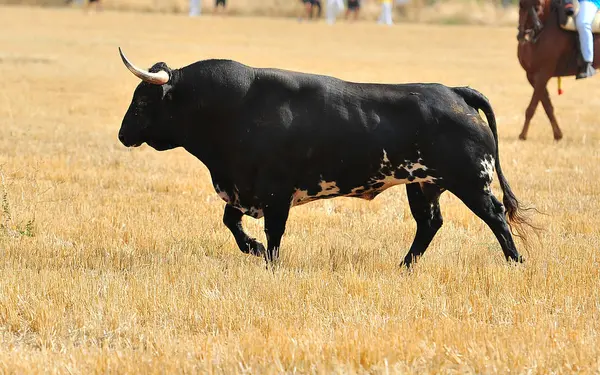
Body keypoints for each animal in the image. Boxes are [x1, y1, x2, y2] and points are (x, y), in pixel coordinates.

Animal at [117, 50, 528, 268]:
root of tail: (455, 93)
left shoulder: (275, 194)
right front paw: (252, 248)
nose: (122, 134)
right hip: (423, 185)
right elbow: (231, 222)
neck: (235, 108)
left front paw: (268, 261)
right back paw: (404, 267)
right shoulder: (243, 190)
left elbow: (274, 234)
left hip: (470, 182)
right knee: (429, 224)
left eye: (142, 101)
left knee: (495, 216)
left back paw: (516, 262)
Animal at [516, 0, 600, 140]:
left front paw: (523, 135)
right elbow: (547, 106)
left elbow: (532, 107)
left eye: (538, 6)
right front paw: (558, 135)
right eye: (521, 5)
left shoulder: (544, 74)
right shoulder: (532, 76)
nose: (524, 36)